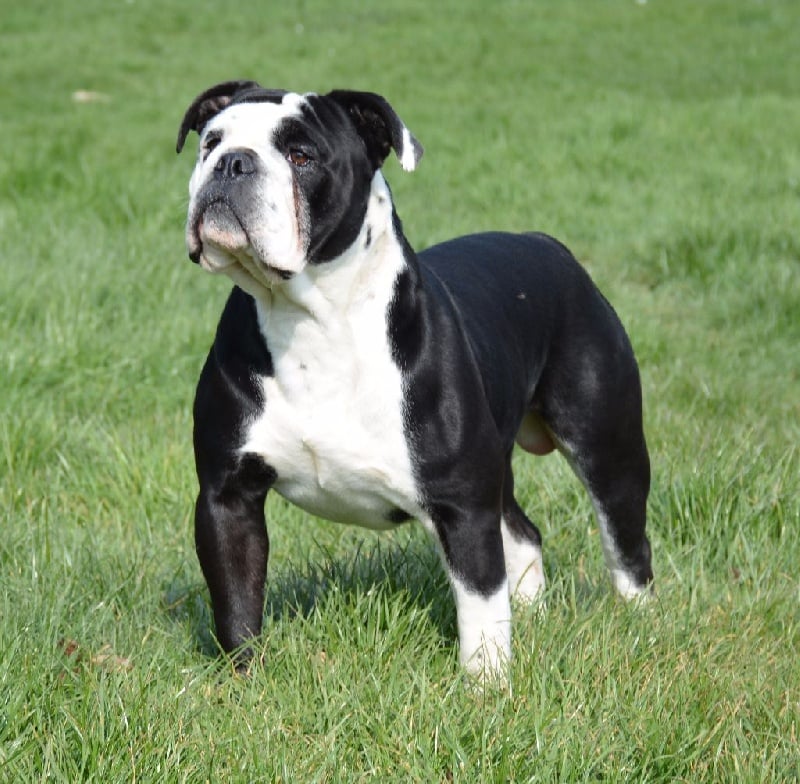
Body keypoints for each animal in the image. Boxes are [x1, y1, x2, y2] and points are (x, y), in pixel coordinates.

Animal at [176, 80, 653, 678]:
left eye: (301, 156)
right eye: (210, 142)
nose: (233, 162)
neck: (309, 319)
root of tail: (550, 244)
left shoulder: (461, 504)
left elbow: (479, 602)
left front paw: (486, 683)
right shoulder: (227, 496)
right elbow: (237, 599)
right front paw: (245, 679)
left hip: (606, 446)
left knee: (625, 540)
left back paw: (638, 623)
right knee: (522, 532)